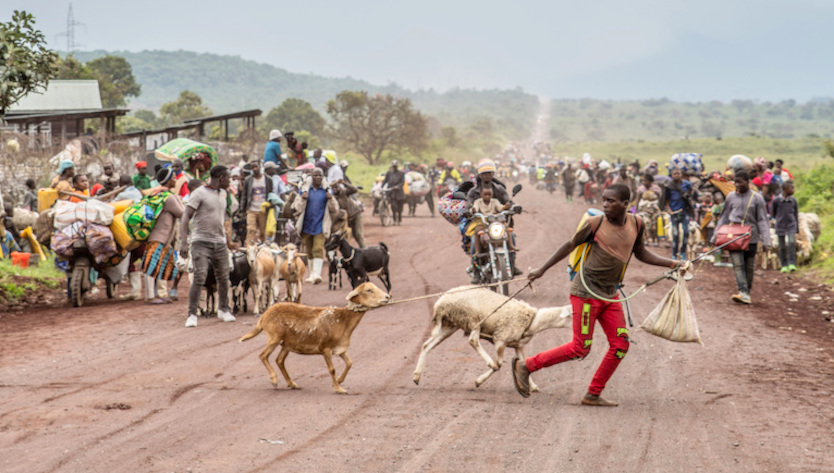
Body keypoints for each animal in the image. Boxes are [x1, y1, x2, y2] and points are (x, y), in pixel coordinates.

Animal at [237, 280, 390, 390]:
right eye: (369, 290)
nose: (388, 297)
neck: (343, 320)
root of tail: (264, 316)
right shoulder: (326, 348)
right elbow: (332, 369)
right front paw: (338, 388)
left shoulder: (340, 348)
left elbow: (350, 363)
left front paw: (339, 381)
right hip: (274, 337)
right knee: (263, 356)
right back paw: (274, 380)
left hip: (287, 344)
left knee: (279, 360)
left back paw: (292, 383)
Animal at [412, 286, 572, 390]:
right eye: (571, 315)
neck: (533, 320)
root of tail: (441, 302)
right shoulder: (500, 339)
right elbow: (500, 364)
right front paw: (479, 380)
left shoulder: (518, 345)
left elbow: (524, 362)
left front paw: (532, 386)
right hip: (472, 318)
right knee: (473, 340)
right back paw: (490, 363)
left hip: (451, 324)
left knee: (427, 345)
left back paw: (416, 376)